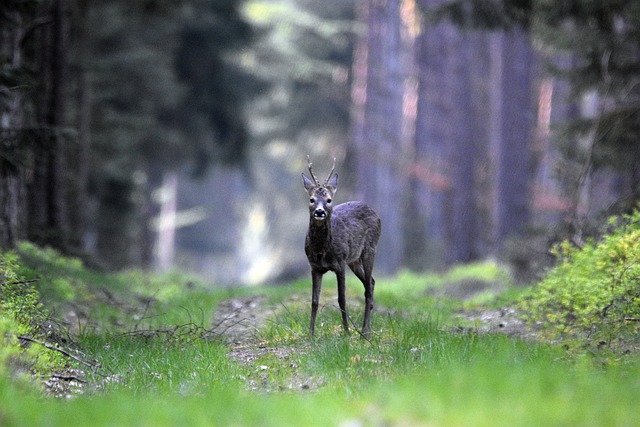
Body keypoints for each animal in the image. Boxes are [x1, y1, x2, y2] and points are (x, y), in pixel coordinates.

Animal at [302, 157, 380, 338]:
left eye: (329, 200)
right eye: (312, 199)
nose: (320, 212)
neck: (322, 250)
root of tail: (376, 213)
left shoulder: (340, 263)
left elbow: (342, 299)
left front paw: (346, 332)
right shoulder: (314, 267)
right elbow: (314, 301)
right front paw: (311, 334)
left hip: (370, 248)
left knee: (368, 287)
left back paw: (364, 331)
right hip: (354, 260)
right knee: (371, 282)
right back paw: (366, 327)